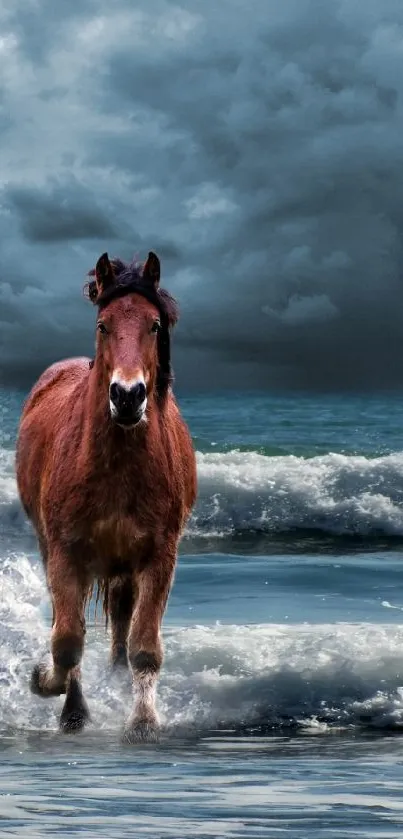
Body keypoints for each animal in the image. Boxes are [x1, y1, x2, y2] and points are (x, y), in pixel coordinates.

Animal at [15, 249, 197, 740]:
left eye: (153, 325)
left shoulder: (159, 557)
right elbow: (66, 640)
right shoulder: (65, 553)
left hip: (124, 568)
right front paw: (51, 690)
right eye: (103, 325)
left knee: (120, 625)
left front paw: (144, 722)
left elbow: (144, 646)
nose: (128, 396)